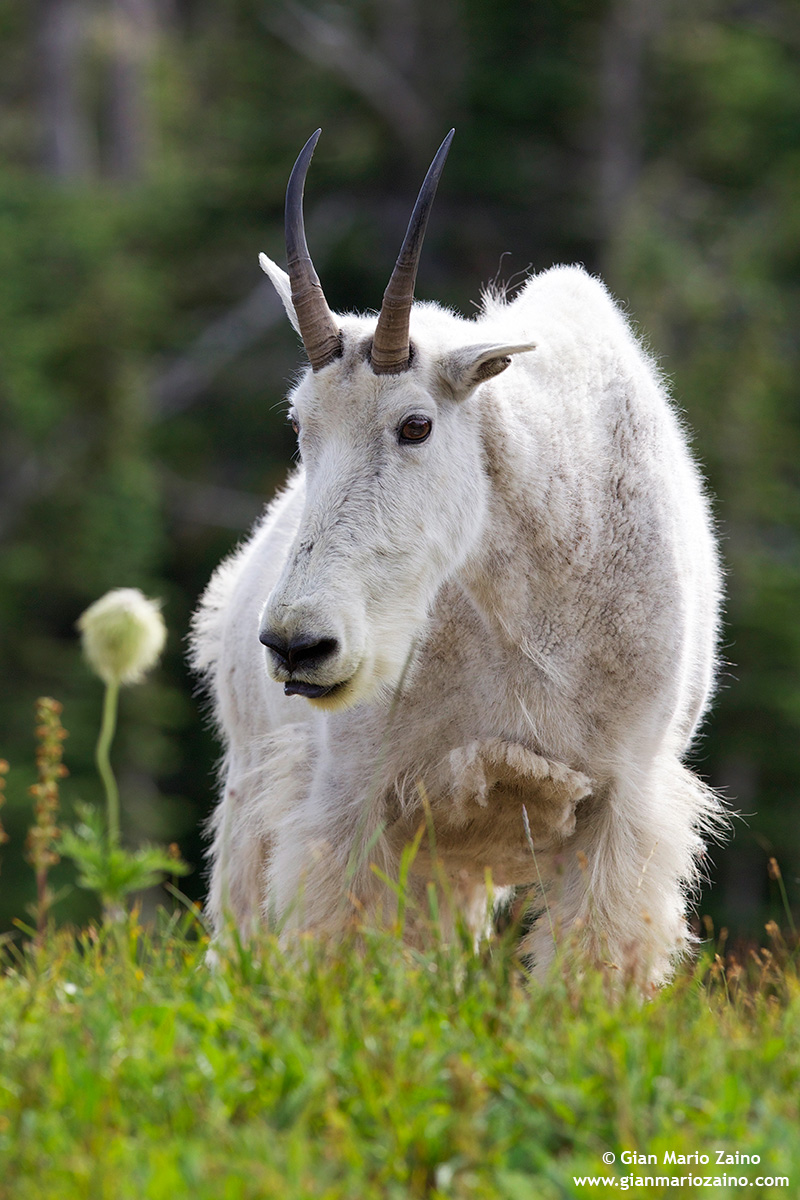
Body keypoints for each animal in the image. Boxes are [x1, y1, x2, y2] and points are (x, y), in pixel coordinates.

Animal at [192, 130, 723, 983]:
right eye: (300, 423)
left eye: (416, 425)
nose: (298, 644)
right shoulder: (348, 799)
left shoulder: (623, 803)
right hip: (257, 792)